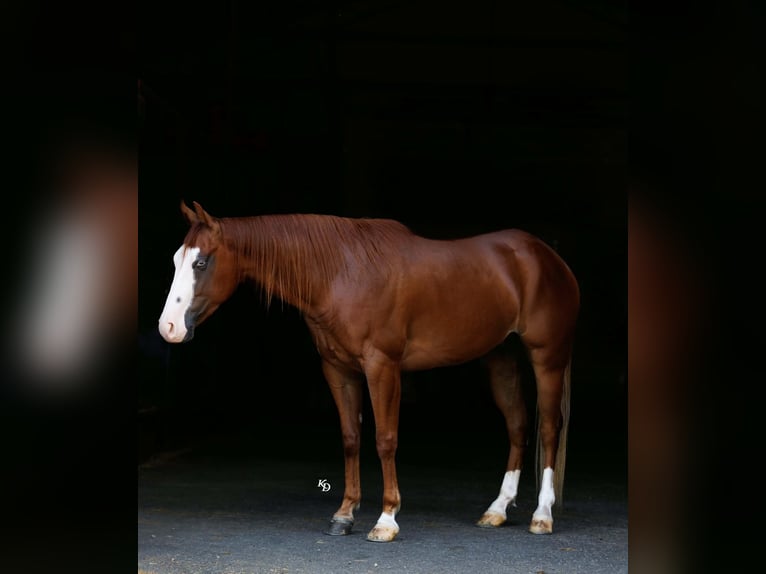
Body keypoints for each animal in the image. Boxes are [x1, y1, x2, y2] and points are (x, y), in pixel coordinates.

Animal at [158, 201, 579, 542]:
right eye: (177, 260)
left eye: (201, 262)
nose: (169, 328)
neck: (343, 272)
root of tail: (547, 256)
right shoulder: (338, 369)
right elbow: (350, 438)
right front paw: (344, 515)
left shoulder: (382, 366)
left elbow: (384, 439)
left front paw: (386, 519)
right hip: (501, 359)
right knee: (518, 426)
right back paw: (496, 510)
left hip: (547, 357)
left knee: (549, 427)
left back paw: (542, 516)